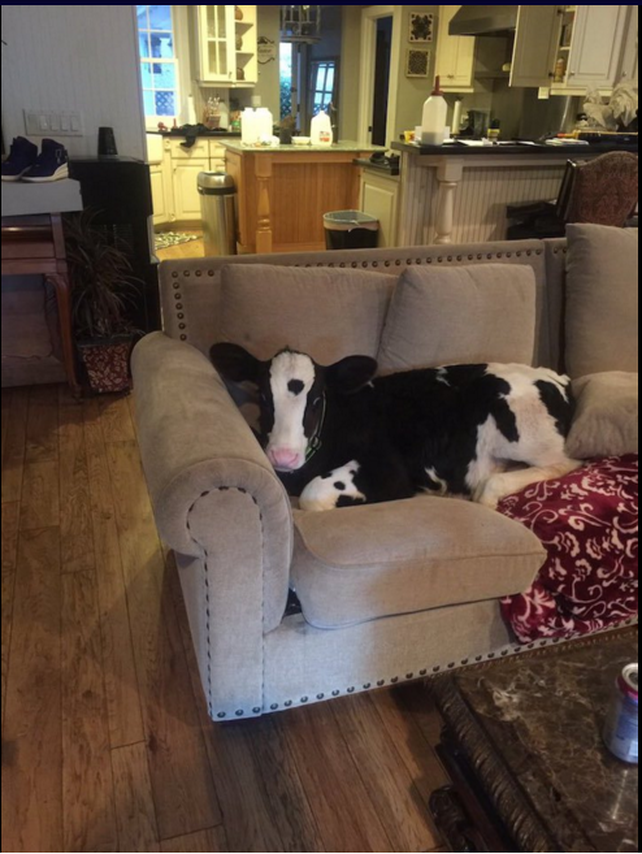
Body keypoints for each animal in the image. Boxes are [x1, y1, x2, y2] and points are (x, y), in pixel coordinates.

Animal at [210, 343, 581, 512]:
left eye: (316, 399)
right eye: (263, 395)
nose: (283, 456)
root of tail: (556, 376)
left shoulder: (390, 470)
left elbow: (314, 495)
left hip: (521, 430)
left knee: (565, 462)